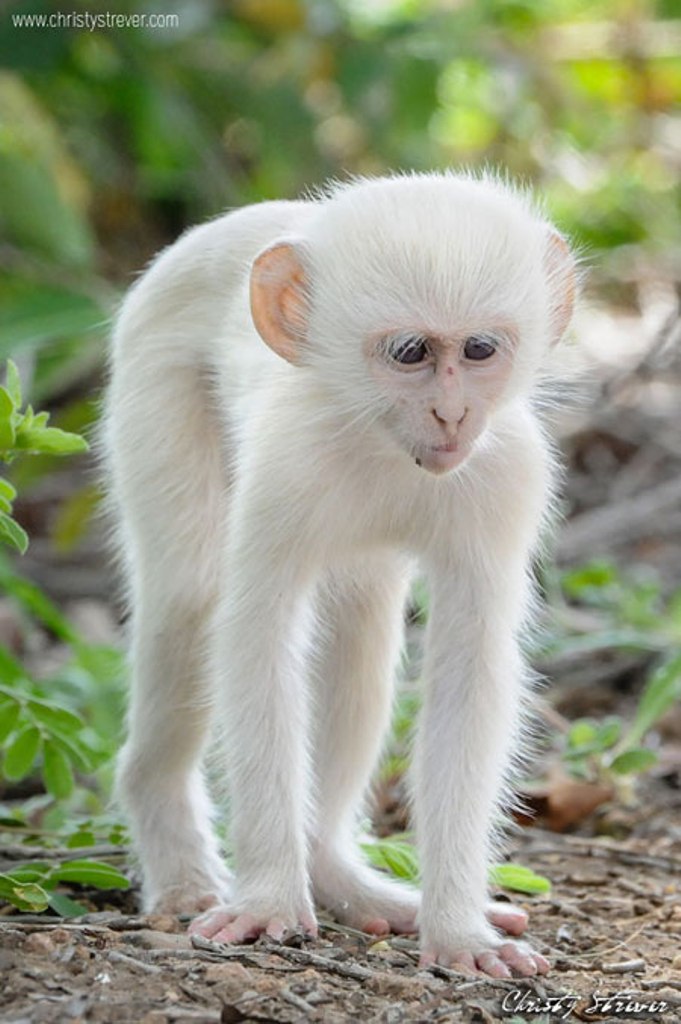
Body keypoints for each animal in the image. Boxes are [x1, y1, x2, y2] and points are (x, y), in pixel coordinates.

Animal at [104, 172, 576, 978]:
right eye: (411, 352)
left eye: (479, 349)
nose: (452, 414)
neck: (383, 441)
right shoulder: (288, 463)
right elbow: (256, 640)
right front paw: (268, 900)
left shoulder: (509, 471)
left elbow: (470, 670)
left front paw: (457, 928)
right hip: (150, 373)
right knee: (188, 599)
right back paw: (178, 854)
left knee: (359, 627)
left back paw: (336, 872)